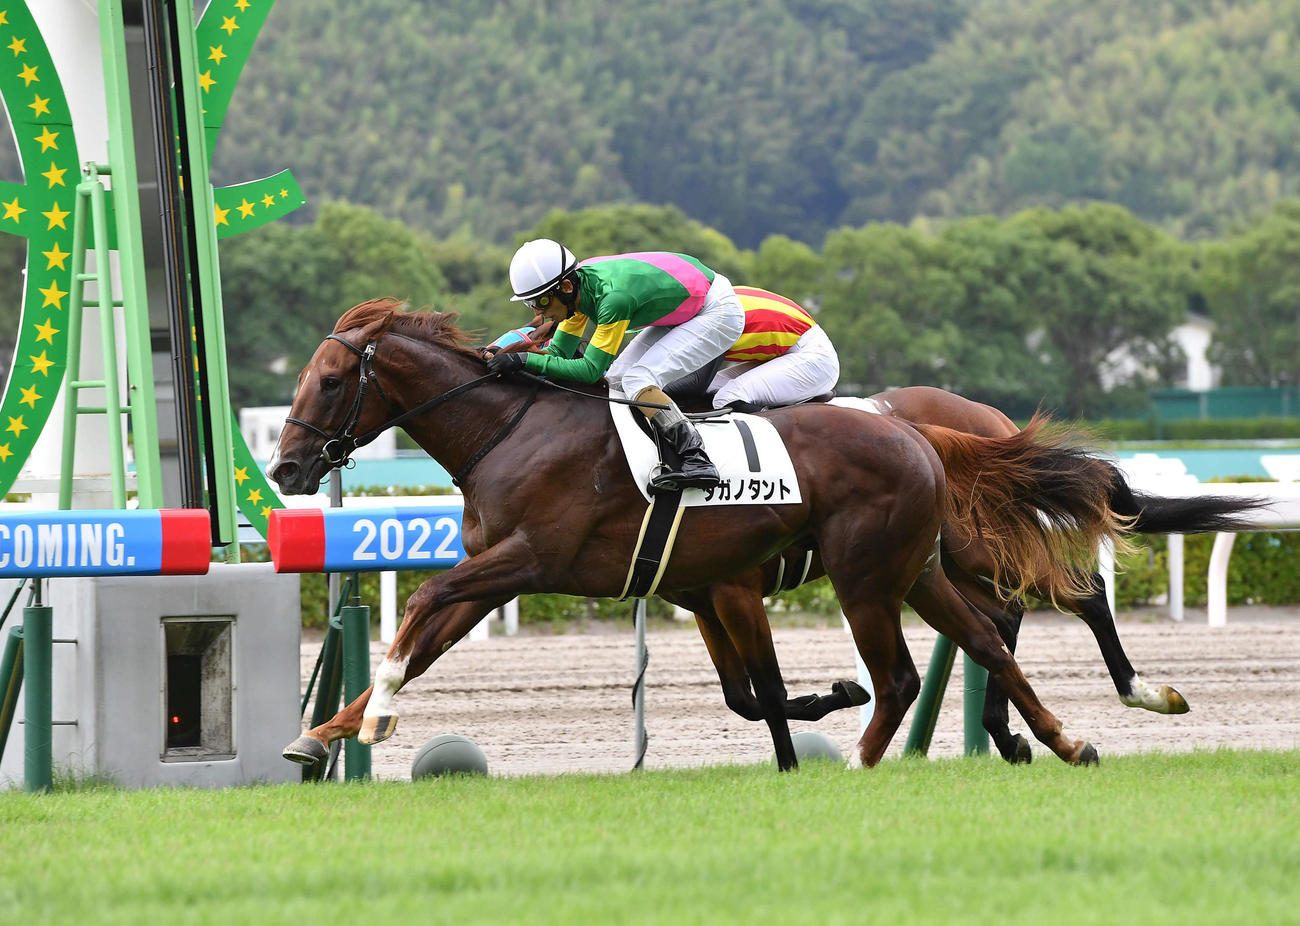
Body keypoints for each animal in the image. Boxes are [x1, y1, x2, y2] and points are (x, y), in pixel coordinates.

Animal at [270, 299, 1129, 770]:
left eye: (333, 381)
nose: (284, 467)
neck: (511, 429)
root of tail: (923, 433)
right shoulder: (545, 575)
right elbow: (427, 641)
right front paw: (322, 736)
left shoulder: (537, 560)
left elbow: (422, 607)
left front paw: (370, 718)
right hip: (916, 567)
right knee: (987, 639)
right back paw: (1061, 740)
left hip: (877, 574)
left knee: (989, 636)